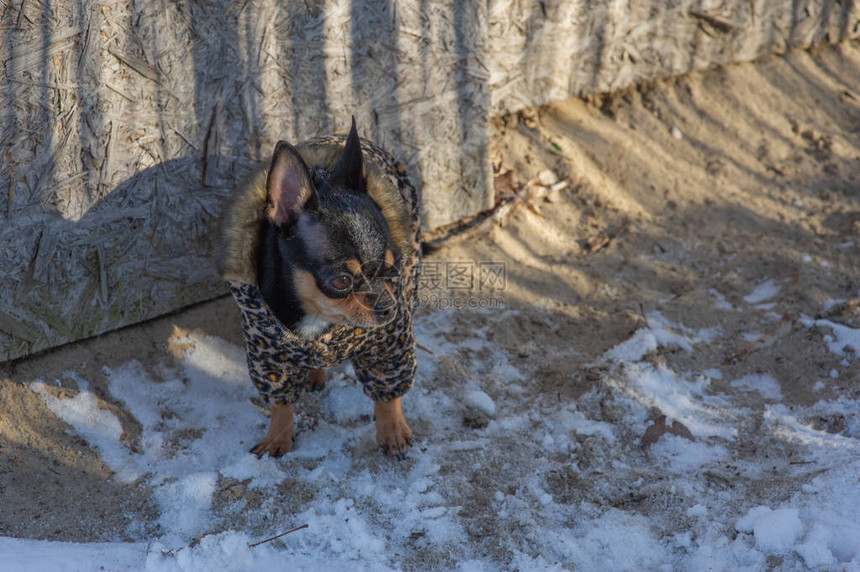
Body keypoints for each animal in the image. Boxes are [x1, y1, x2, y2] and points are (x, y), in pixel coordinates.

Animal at [223, 119, 422, 460]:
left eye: (392, 268)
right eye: (340, 281)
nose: (388, 308)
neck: (317, 318)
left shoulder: (386, 342)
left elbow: (387, 391)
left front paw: (393, 430)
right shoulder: (269, 357)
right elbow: (281, 402)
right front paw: (277, 436)